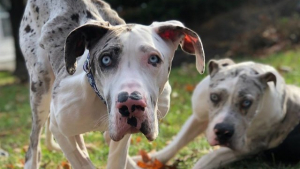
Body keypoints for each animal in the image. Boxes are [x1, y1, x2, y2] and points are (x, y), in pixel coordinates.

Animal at [19, 0, 206, 169]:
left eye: (153, 59)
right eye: (106, 59)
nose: (130, 103)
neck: (98, 100)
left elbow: (116, 157)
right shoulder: (59, 127)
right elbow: (82, 161)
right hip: (40, 88)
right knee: (33, 145)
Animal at [135, 58, 300, 168]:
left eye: (247, 102)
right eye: (214, 97)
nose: (223, 131)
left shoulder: (249, 146)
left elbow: (208, 157)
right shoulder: (199, 117)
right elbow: (177, 143)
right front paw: (148, 159)